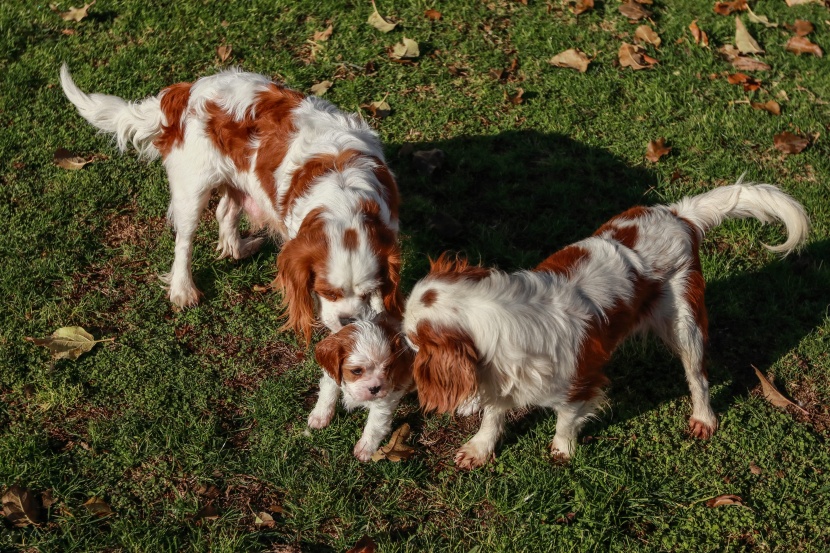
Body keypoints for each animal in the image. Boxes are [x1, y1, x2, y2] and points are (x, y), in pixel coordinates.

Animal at [61, 66, 404, 338]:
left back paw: (239, 247)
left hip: (239, 180)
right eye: (326, 292)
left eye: (368, 292)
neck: (343, 198)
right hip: (192, 188)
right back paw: (183, 289)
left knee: (226, 211)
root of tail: (183, 91)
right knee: (184, 241)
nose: (348, 321)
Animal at [312, 312, 416, 460]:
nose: (375, 388)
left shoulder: (386, 398)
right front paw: (319, 416)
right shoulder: (332, 375)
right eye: (356, 371)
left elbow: (375, 425)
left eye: (387, 368)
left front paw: (366, 448)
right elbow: (327, 393)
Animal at [404, 183, 812, 468]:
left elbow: (566, 420)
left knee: (699, 377)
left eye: (411, 342)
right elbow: (493, 414)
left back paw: (703, 417)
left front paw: (562, 451)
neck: (504, 314)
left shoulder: (580, 382)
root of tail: (679, 216)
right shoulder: (499, 376)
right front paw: (480, 448)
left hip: (685, 324)